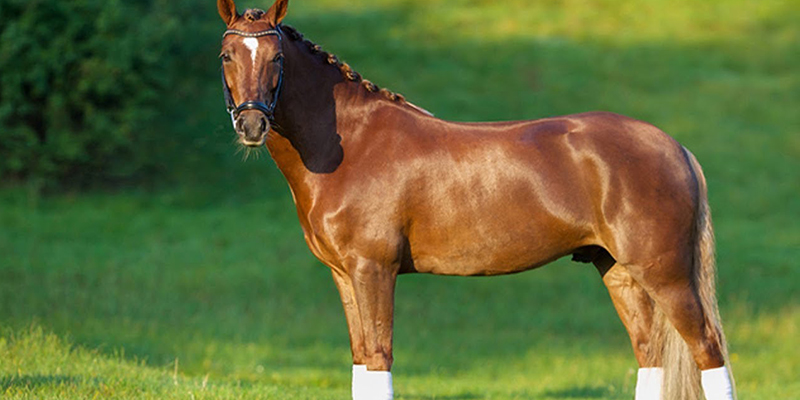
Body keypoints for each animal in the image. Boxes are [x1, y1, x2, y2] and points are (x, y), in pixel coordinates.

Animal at [215, 0, 736, 399]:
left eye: (276, 59)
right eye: (226, 56)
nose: (252, 124)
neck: (351, 143)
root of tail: (674, 147)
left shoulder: (373, 270)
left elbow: (380, 360)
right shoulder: (344, 275)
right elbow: (362, 362)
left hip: (666, 275)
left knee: (709, 351)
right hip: (620, 273)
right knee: (650, 355)